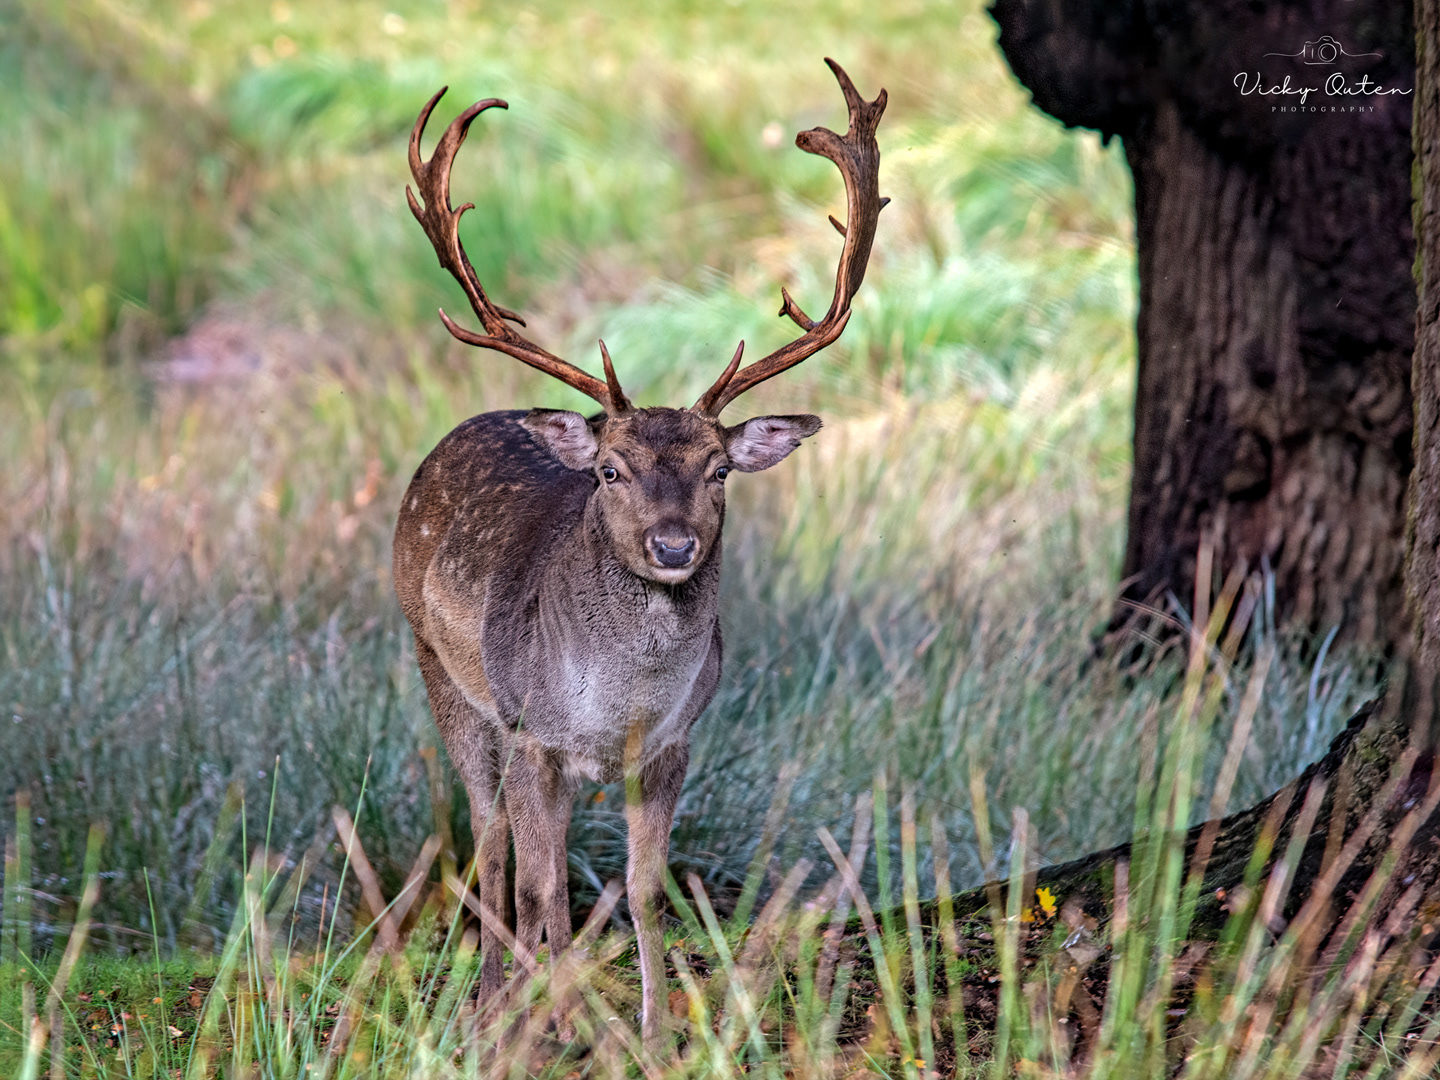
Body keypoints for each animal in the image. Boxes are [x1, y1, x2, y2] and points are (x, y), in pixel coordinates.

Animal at [393, 59, 886, 1044]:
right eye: (611, 471)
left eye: (721, 469)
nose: (673, 542)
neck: (613, 705)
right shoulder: (536, 733)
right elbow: (544, 882)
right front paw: (548, 1021)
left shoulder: (671, 743)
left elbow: (644, 890)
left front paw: (652, 1033)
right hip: (441, 669)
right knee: (489, 835)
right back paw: (494, 995)